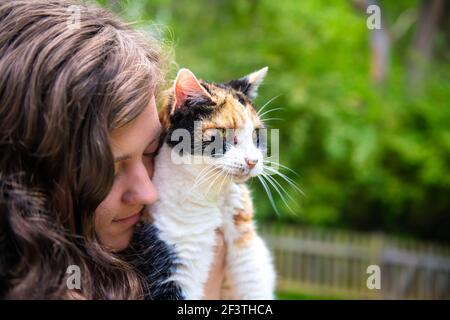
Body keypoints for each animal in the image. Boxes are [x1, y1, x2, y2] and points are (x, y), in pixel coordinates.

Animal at [132, 67, 276, 300]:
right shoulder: (171, 259)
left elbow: (253, 283)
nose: (252, 161)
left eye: (256, 134)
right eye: (224, 133)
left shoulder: (248, 254)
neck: (215, 196)